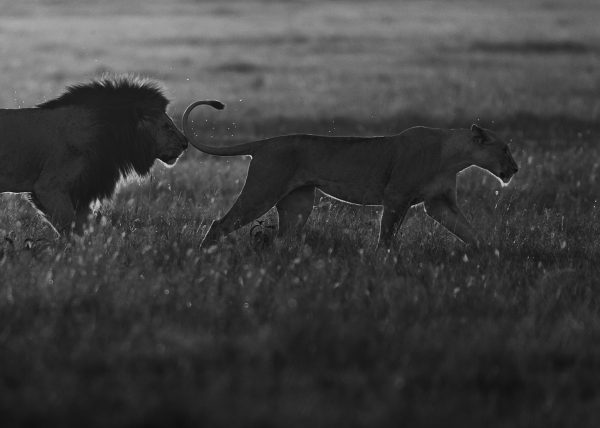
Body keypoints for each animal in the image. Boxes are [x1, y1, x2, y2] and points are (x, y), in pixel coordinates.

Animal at [0, 76, 197, 236]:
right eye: (166, 126)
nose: (185, 144)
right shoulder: (49, 187)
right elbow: (73, 230)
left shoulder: (83, 191)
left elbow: (83, 228)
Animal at [183, 100, 520, 247]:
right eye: (504, 149)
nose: (516, 168)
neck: (453, 157)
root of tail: (265, 142)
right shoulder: (396, 196)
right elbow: (387, 236)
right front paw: (383, 264)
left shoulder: (439, 203)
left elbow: (470, 232)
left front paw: (493, 257)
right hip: (262, 190)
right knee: (220, 223)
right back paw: (205, 257)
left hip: (298, 202)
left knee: (281, 238)